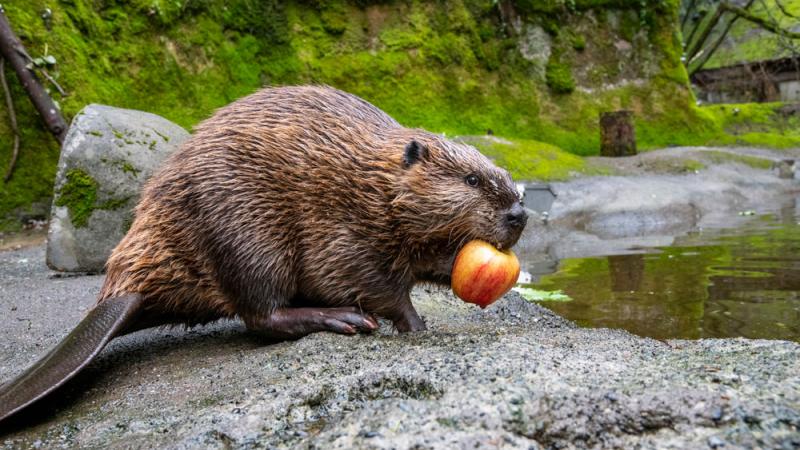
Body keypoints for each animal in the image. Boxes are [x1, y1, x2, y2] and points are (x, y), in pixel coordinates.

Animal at [0, 86, 528, 424]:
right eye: (472, 179)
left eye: (503, 176)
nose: (520, 213)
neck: (373, 179)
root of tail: (119, 294)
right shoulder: (341, 227)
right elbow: (370, 280)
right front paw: (416, 324)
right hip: (248, 234)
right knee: (260, 314)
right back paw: (340, 319)